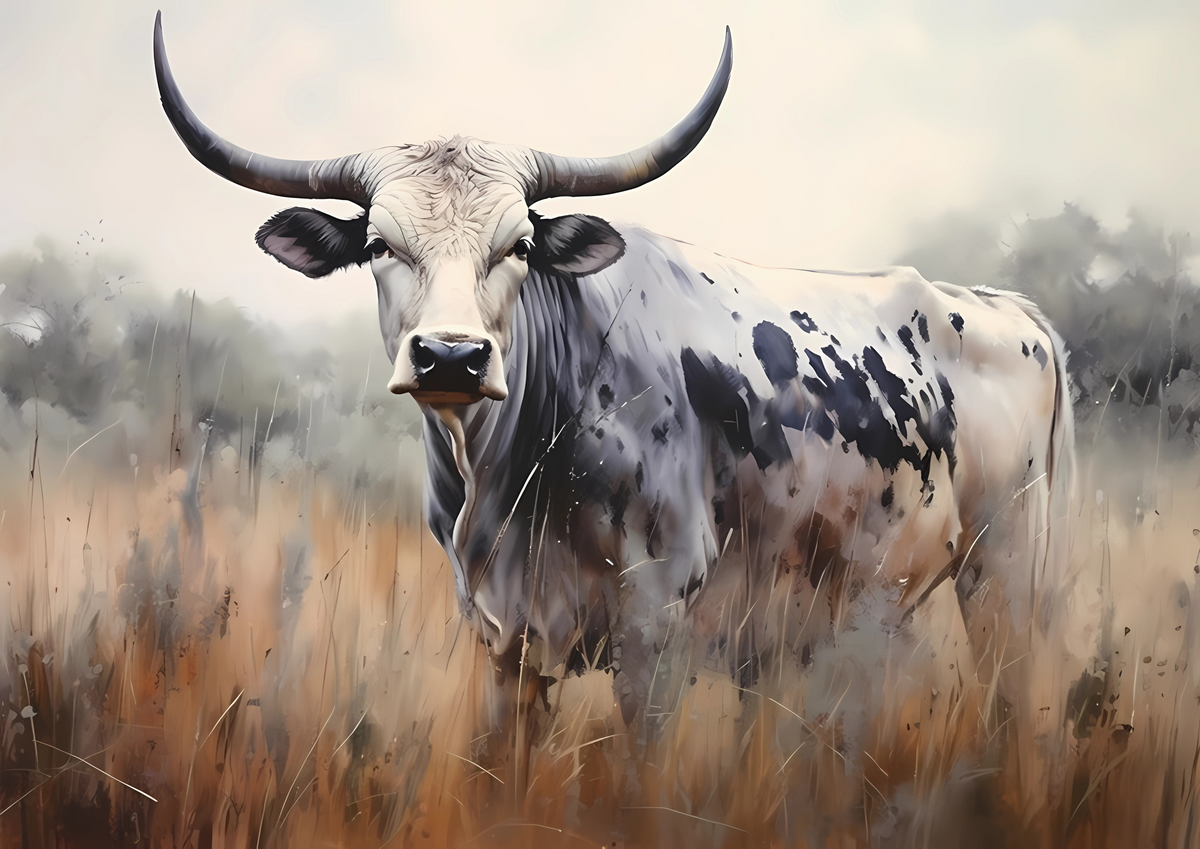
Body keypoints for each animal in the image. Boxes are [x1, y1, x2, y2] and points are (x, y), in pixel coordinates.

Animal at [153, 12, 1075, 769]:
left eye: (520, 245)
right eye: (380, 244)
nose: (451, 356)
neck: (512, 480)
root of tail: (1007, 308)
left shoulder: (652, 632)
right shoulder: (506, 644)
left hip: (1007, 579)